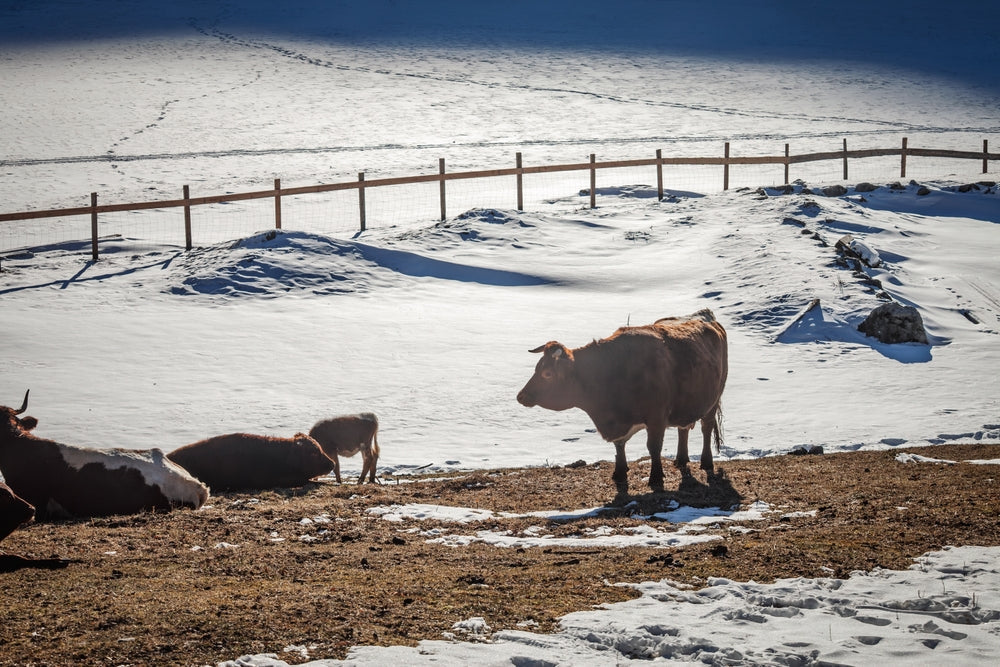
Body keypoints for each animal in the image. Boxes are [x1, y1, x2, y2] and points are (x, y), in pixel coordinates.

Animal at [516, 309, 728, 498]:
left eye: (547, 374)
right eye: (536, 368)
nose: (521, 396)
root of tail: (705, 315)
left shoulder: (656, 417)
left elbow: (654, 447)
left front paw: (656, 477)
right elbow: (619, 446)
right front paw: (619, 472)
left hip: (714, 399)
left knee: (706, 428)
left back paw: (706, 462)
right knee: (683, 429)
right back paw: (681, 460)